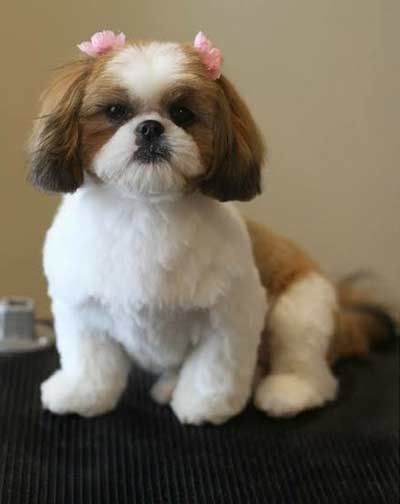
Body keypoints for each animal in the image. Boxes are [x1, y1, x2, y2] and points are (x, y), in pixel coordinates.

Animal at [27, 31, 394, 424]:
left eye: (182, 113)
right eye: (115, 111)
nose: (150, 127)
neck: (144, 208)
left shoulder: (230, 314)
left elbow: (214, 369)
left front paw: (204, 406)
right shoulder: (84, 311)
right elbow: (89, 362)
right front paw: (82, 394)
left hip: (303, 306)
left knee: (308, 365)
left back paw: (289, 391)